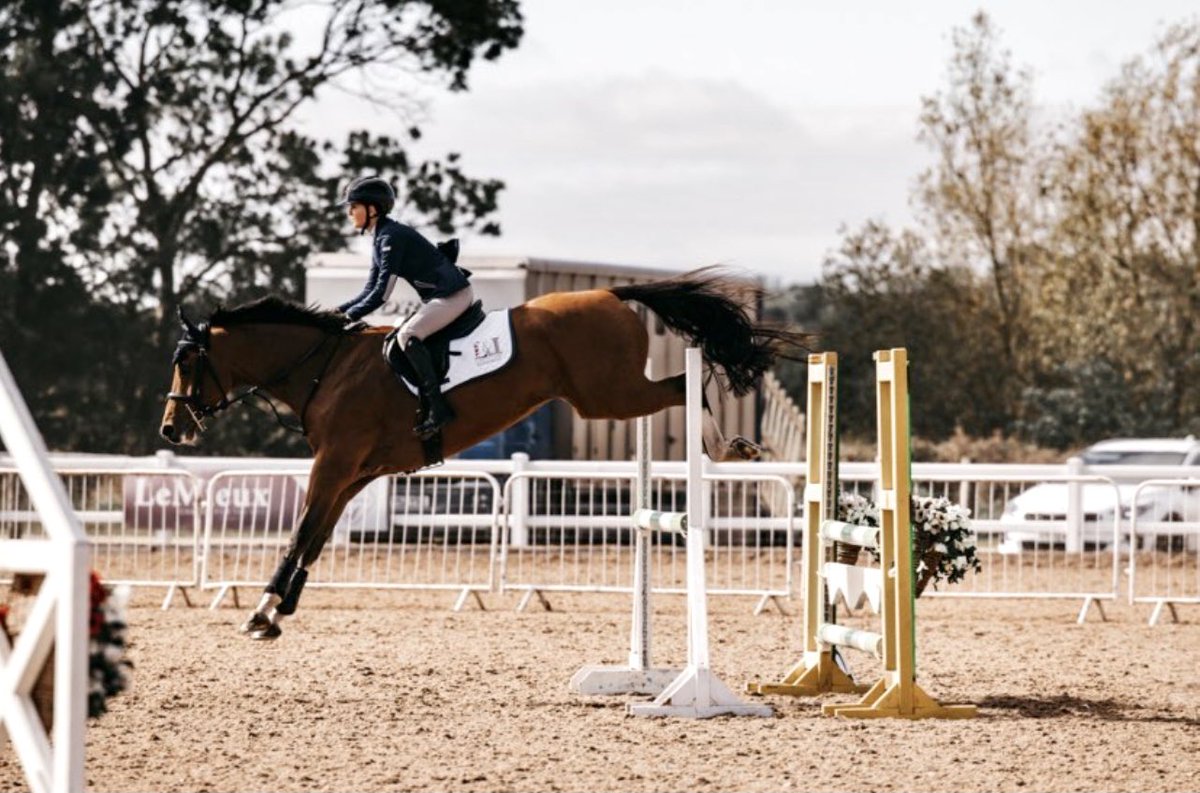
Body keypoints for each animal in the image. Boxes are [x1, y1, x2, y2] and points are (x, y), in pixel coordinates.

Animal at [159, 266, 811, 638]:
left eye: (187, 361)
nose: (170, 430)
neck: (325, 367)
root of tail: (608, 292)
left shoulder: (336, 463)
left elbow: (298, 532)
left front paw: (261, 611)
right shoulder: (356, 473)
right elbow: (315, 537)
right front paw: (279, 612)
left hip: (609, 396)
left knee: (682, 386)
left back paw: (727, 447)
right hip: (608, 395)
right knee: (679, 386)